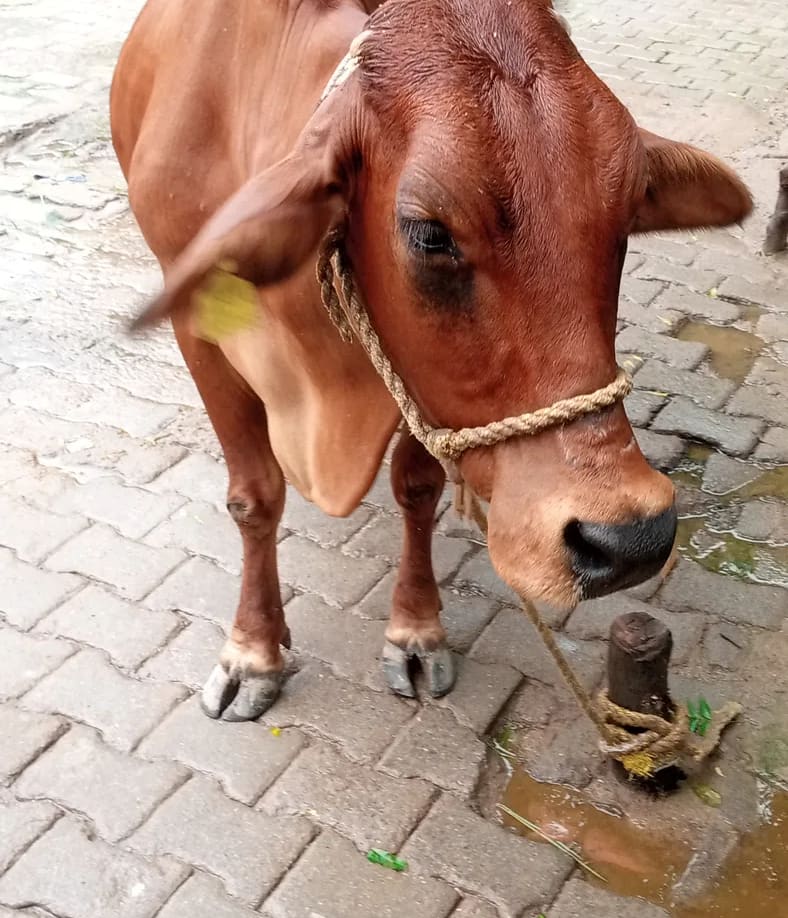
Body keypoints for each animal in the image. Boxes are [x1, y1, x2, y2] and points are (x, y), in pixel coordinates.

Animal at [111, 0, 752, 722]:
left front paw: (414, 630)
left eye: (627, 217)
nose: (629, 541)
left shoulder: (421, 382)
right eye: (429, 234)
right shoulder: (200, 334)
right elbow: (254, 498)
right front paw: (252, 651)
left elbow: (417, 487)